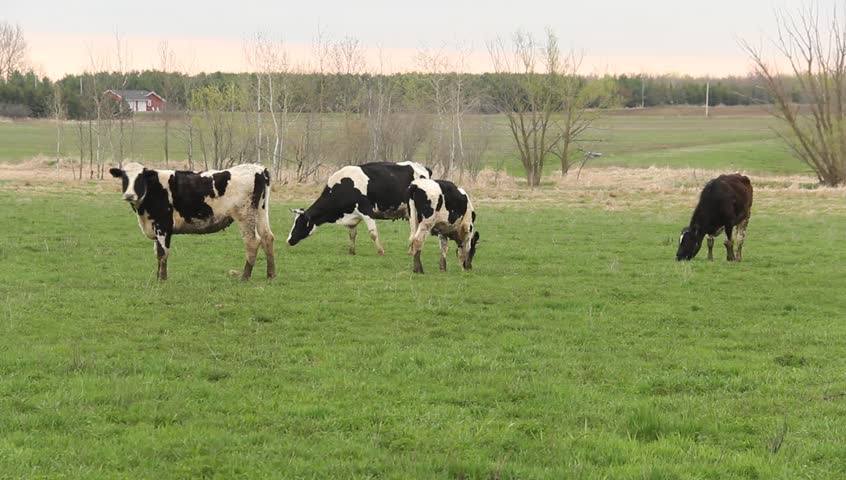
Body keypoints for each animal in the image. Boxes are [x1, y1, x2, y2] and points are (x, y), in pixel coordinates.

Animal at [109, 162, 276, 280]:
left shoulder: (163, 225)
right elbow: (157, 252)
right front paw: (157, 277)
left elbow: (163, 252)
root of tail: (258, 169)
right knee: (267, 237)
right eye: (124, 178)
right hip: (261, 212)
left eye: (140, 178)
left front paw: (162, 279)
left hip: (245, 214)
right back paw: (271, 275)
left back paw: (245, 276)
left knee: (252, 241)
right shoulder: (154, 226)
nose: (129, 195)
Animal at [287, 161, 432, 255]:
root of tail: (422, 167)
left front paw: (381, 251)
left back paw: (411, 251)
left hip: (414, 212)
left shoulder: (366, 211)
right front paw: (351, 252)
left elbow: (373, 233)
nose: (288, 241)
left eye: (300, 223)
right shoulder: (352, 216)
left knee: (416, 230)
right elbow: (352, 235)